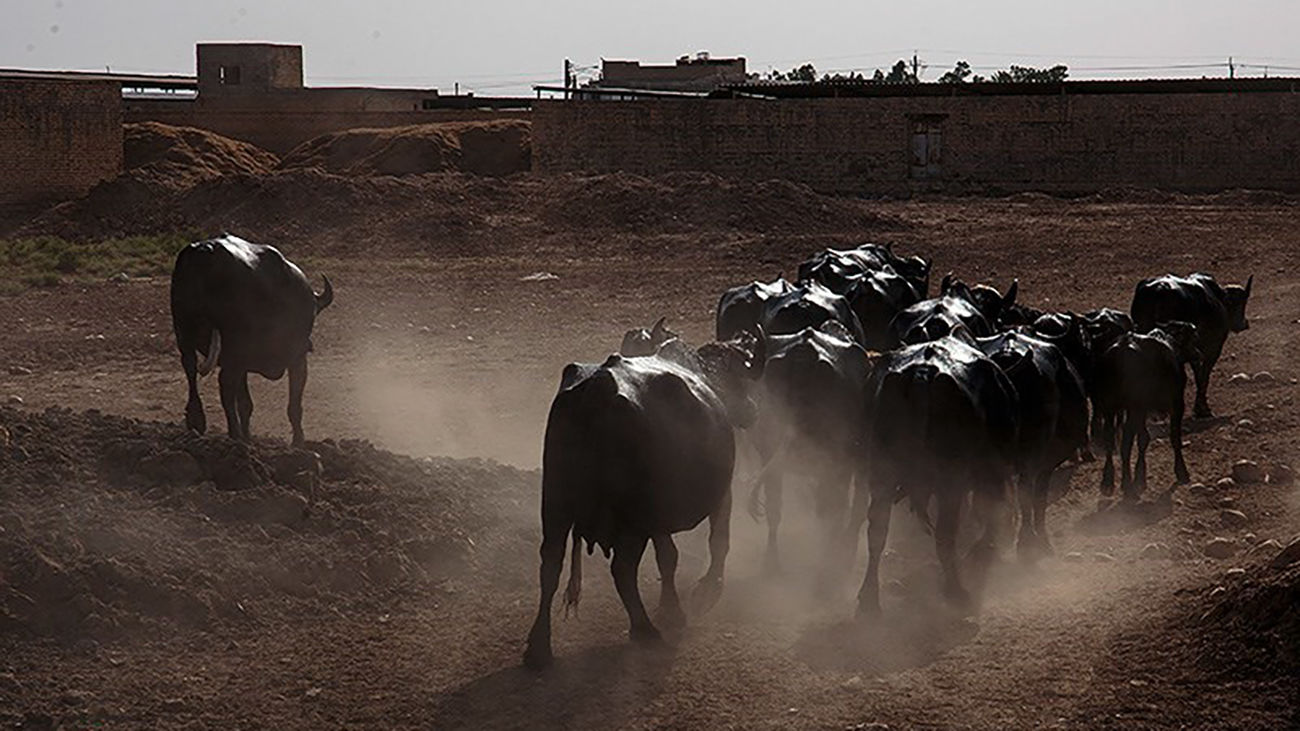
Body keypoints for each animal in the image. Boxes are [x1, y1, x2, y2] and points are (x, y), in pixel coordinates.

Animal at [170, 236, 332, 447]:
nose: (309, 345)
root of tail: (205, 252)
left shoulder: (242, 364)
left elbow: (245, 403)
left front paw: (248, 436)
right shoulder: (297, 358)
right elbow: (294, 405)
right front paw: (298, 441)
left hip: (184, 334)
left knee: (190, 368)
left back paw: (198, 421)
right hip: (233, 346)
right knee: (225, 383)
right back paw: (234, 433)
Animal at [522, 327, 764, 671]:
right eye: (739, 379)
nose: (752, 411)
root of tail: (598, 392)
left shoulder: (657, 520)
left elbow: (668, 557)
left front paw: (671, 607)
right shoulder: (720, 495)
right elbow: (717, 542)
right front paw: (705, 591)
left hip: (556, 503)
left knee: (550, 564)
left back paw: (539, 648)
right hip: (631, 519)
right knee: (622, 570)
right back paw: (644, 630)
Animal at [852, 331, 1024, 613]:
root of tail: (923, 373)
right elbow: (989, 508)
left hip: (881, 473)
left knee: (876, 532)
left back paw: (869, 598)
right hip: (950, 479)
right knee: (945, 533)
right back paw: (956, 591)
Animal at [1097, 321, 1196, 496]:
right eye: (1192, 339)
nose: (1199, 354)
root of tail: (1123, 348)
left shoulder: (1141, 410)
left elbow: (1143, 437)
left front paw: (1140, 475)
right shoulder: (1177, 404)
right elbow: (1174, 438)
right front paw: (1181, 471)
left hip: (1110, 406)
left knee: (1109, 437)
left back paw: (1108, 480)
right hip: (1133, 407)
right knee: (1126, 441)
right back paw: (1126, 483)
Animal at [1133, 271, 1253, 416]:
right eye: (1241, 304)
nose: (1244, 323)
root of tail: (1159, 289)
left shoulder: (1193, 352)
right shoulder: (1213, 348)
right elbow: (1204, 375)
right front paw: (1202, 408)